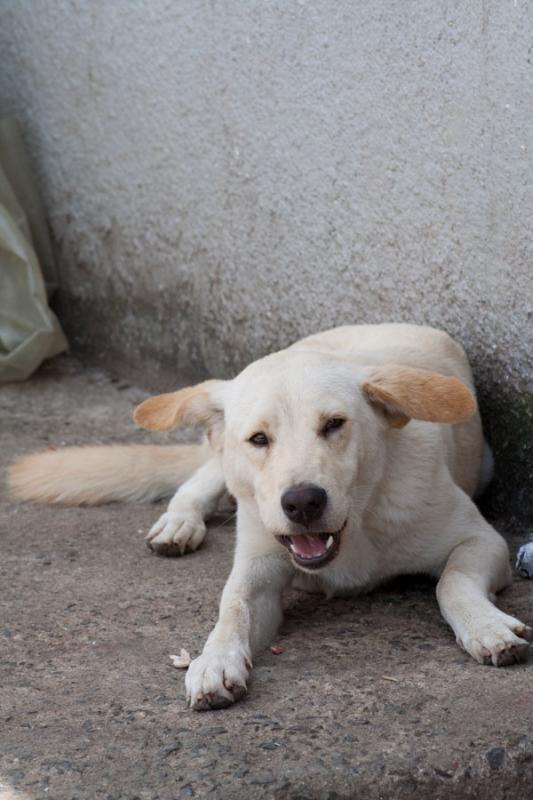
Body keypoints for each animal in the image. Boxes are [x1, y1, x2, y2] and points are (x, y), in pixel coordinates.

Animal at [7, 322, 528, 708]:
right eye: (259, 439)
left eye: (334, 425)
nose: (302, 502)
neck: (357, 523)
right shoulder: (257, 567)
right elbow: (232, 605)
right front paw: (214, 659)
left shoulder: (482, 541)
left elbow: (451, 581)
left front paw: (486, 627)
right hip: (222, 461)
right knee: (203, 472)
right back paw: (180, 520)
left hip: (485, 464)